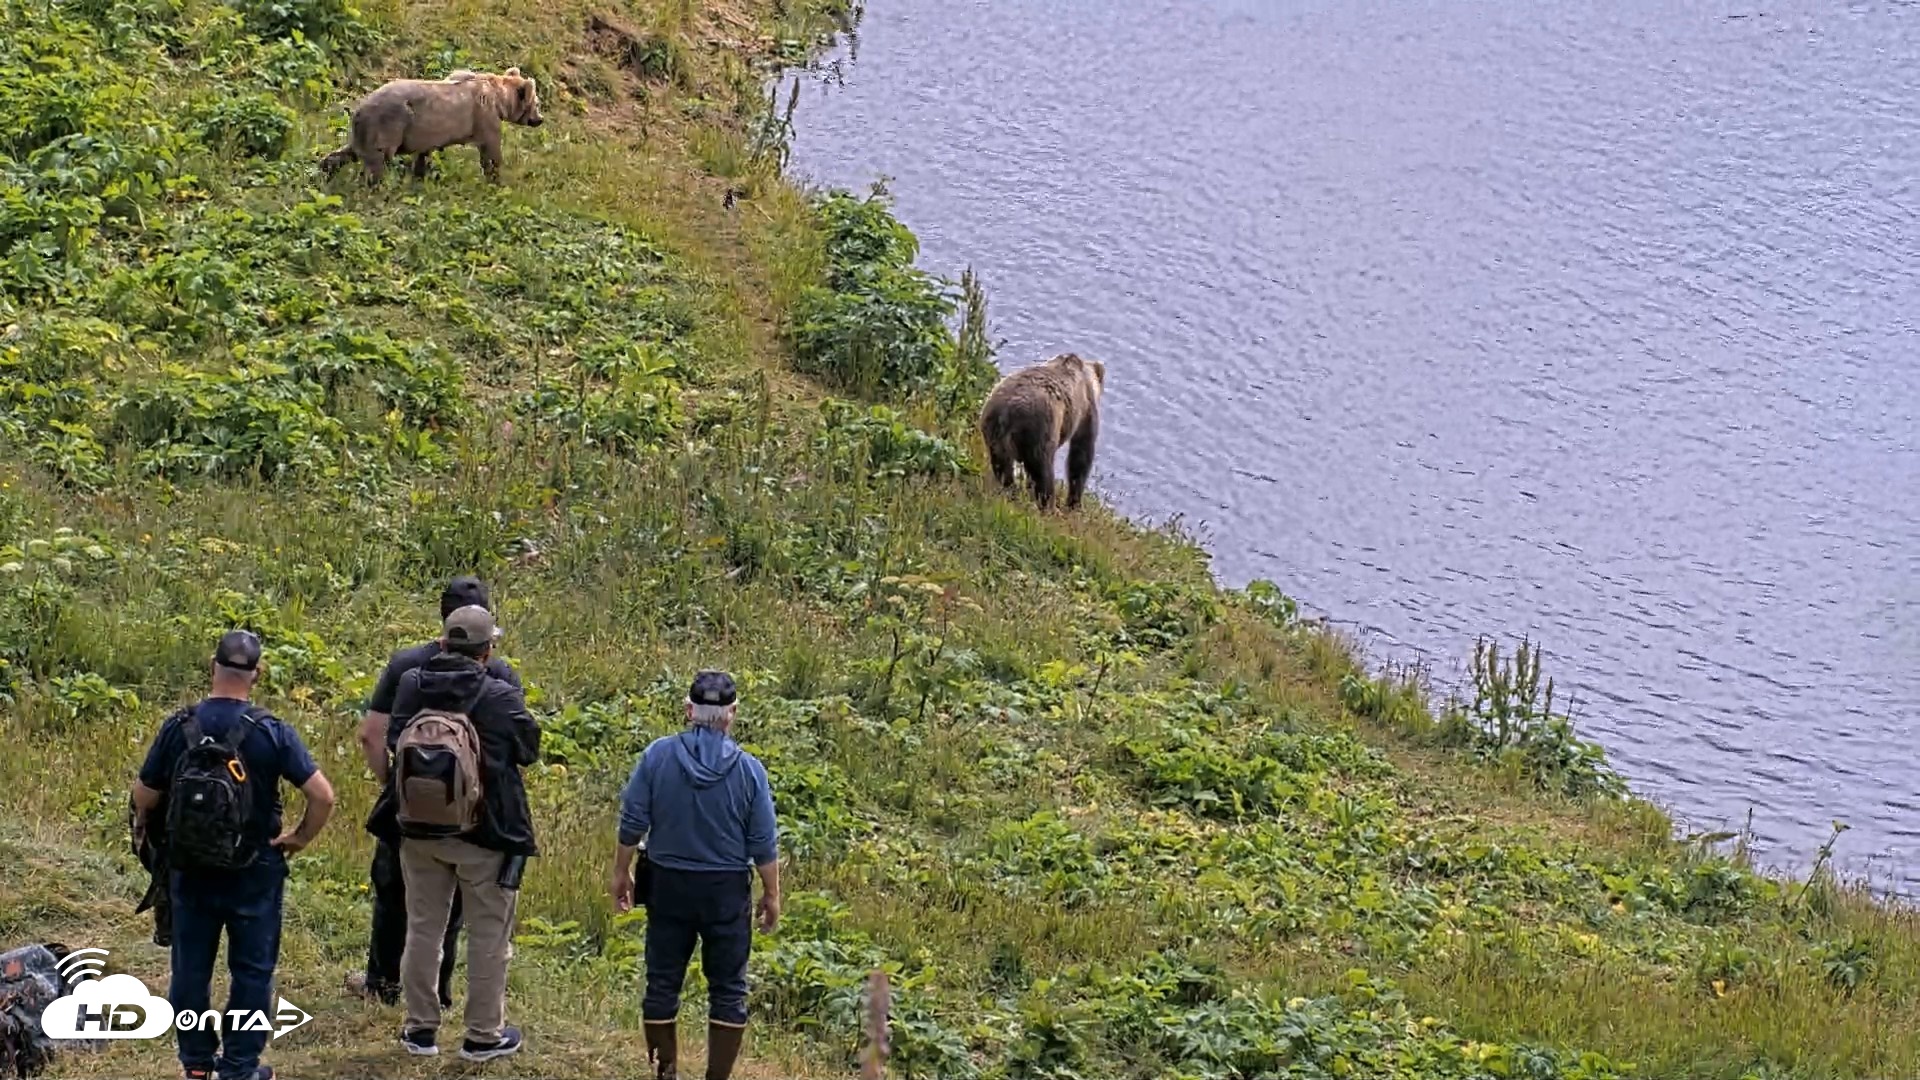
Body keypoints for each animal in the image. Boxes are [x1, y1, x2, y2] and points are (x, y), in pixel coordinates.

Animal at [319, 67, 543, 187]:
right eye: (537, 103)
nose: (539, 119)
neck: (499, 98)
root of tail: (359, 109)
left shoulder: (426, 133)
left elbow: (423, 154)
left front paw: (420, 175)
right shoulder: (484, 117)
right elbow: (491, 149)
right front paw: (496, 179)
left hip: (365, 131)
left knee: (347, 152)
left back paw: (325, 170)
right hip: (388, 126)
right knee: (378, 160)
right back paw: (375, 186)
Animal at [978, 352, 1107, 511]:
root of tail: (1007, 412)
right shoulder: (1086, 409)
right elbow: (1081, 454)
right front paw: (1074, 504)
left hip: (993, 432)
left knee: (1002, 467)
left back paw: (1011, 492)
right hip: (1040, 429)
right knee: (1043, 472)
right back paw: (1049, 507)